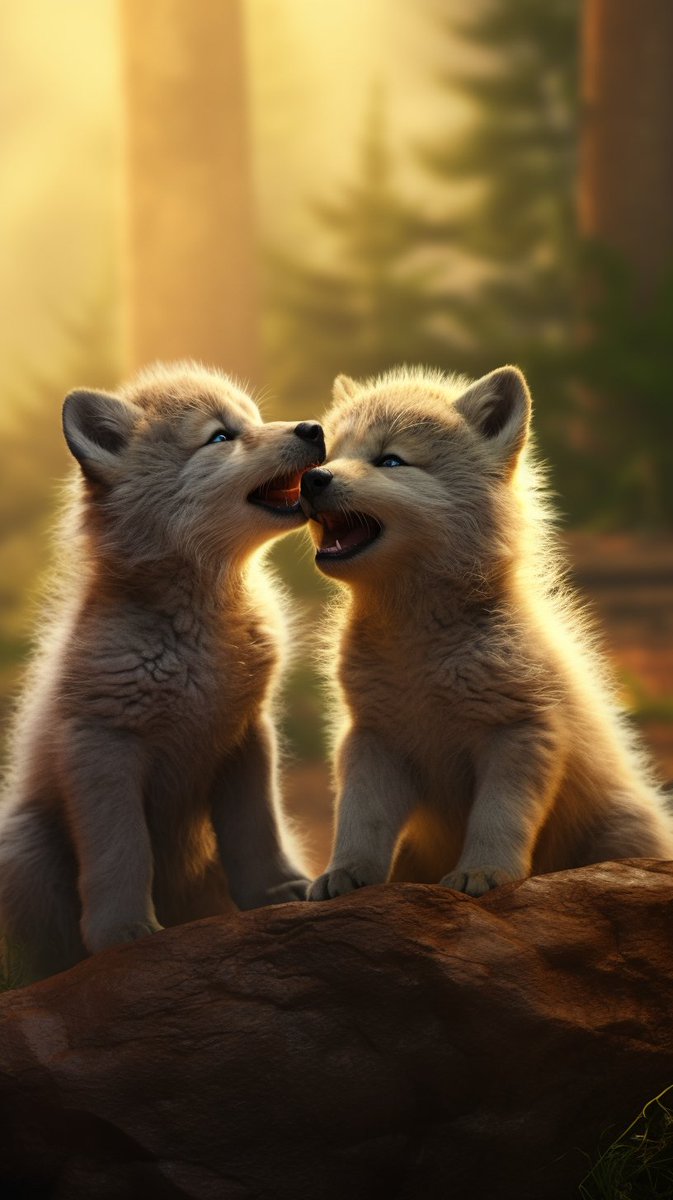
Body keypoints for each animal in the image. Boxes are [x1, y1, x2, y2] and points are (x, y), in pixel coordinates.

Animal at [0, 361, 325, 981]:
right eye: (221, 437)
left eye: (253, 419)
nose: (315, 428)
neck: (201, 637)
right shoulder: (102, 749)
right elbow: (123, 853)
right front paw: (124, 932)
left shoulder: (246, 737)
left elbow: (258, 830)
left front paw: (278, 890)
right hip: (27, 850)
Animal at [300, 365, 673, 900]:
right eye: (328, 455)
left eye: (390, 460)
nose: (311, 478)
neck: (420, 651)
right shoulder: (372, 741)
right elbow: (359, 821)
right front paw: (344, 874)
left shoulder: (521, 735)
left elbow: (497, 818)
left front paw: (484, 872)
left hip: (619, 832)